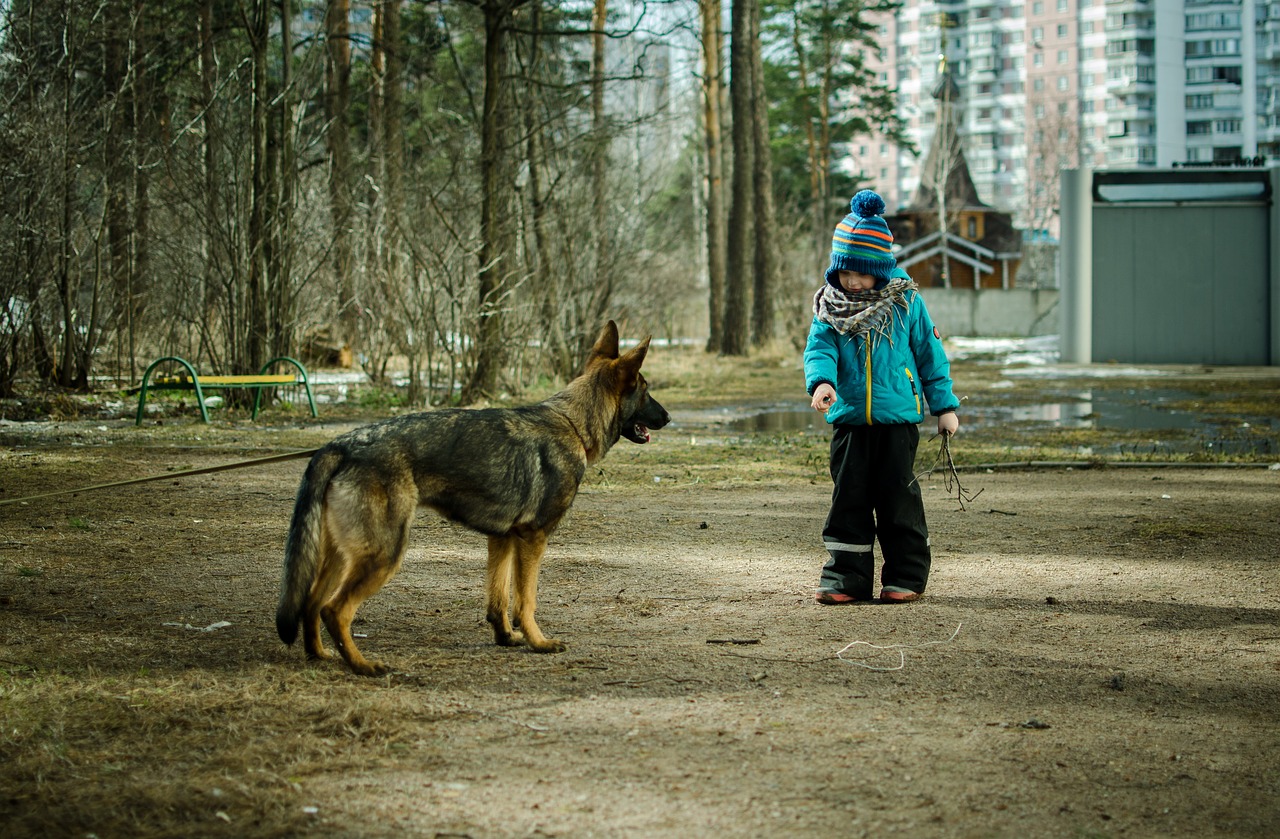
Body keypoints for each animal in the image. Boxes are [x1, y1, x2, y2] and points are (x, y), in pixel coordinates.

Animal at [277, 321, 670, 676]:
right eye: (646, 390)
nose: (668, 417)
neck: (572, 423)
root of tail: (340, 445)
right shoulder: (533, 539)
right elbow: (526, 600)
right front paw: (538, 642)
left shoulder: (502, 540)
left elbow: (499, 598)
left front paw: (507, 638)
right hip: (383, 554)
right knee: (334, 610)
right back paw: (362, 666)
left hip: (342, 557)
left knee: (311, 603)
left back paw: (320, 655)